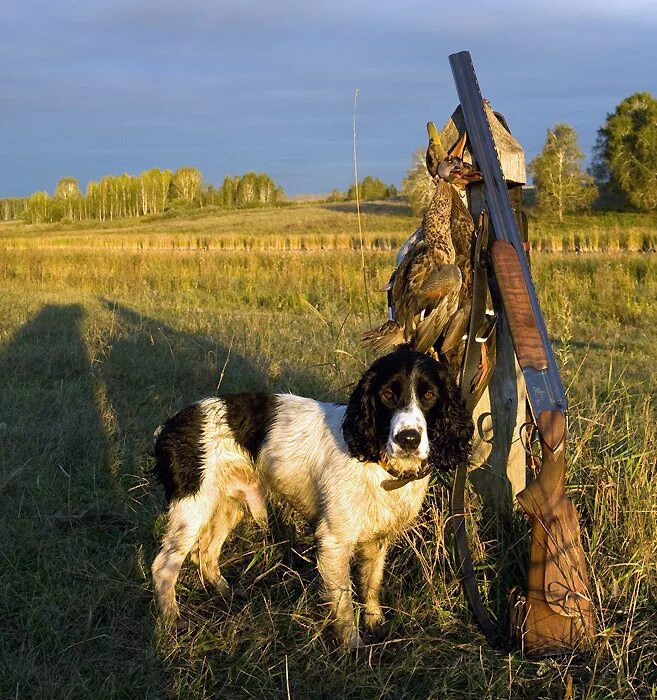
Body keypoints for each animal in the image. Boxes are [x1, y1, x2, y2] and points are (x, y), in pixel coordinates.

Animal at [151, 348, 472, 648]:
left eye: (429, 394)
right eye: (388, 394)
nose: (408, 439)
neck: (378, 464)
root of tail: (169, 426)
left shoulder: (378, 539)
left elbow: (371, 583)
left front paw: (375, 622)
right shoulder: (334, 541)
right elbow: (344, 603)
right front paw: (353, 647)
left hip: (231, 504)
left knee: (205, 553)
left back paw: (225, 592)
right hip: (192, 509)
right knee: (164, 565)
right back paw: (173, 620)